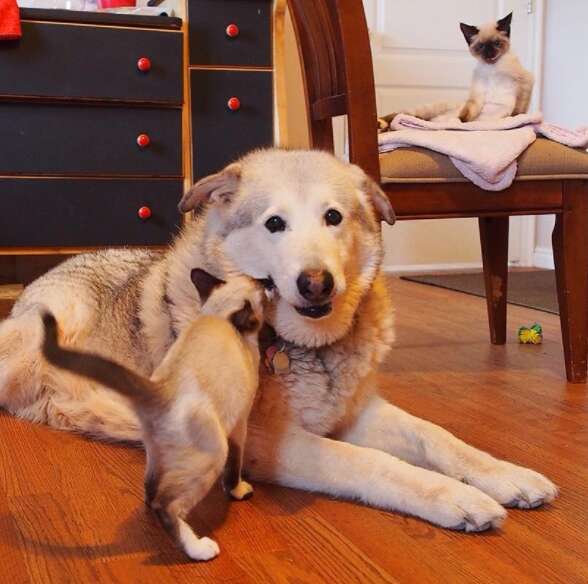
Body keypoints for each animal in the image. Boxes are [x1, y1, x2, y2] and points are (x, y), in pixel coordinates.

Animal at [0, 148, 556, 532]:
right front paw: (452, 496)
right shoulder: (262, 442)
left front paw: (504, 474)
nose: (317, 283)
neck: (299, 349)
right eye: (274, 223)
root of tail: (56, 267)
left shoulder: (356, 413)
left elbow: (436, 436)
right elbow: (367, 461)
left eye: (333, 217)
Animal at [41, 272, 262, 564]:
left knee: (151, 488)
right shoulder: (240, 425)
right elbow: (234, 469)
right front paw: (238, 491)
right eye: (265, 288)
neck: (217, 316)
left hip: (156, 454)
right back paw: (199, 548)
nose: (268, 281)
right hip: (214, 454)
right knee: (166, 505)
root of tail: (158, 390)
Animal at [378, 11, 536, 130]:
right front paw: (458, 122)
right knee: (400, 115)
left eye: (496, 43)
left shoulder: (525, 82)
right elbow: (465, 115)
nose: (490, 54)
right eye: (481, 46)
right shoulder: (477, 96)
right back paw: (383, 124)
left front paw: (515, 119)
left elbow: (518, 110)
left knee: (406, 117)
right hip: (426, 109)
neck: (492, 68)